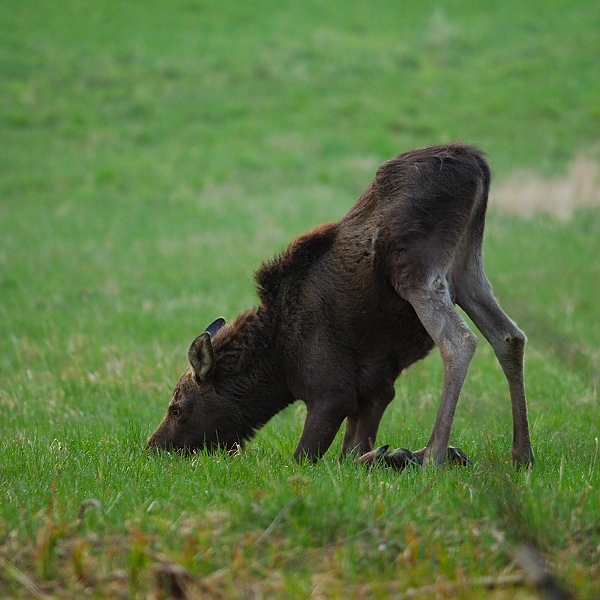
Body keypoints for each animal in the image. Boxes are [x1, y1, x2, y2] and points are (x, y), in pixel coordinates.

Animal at [147, 143, 534, 469]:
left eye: (177, 408)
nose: (153, 446)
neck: (278, 366)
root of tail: (477, 165)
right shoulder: (377, 389)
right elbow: (352, 452)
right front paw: (394, 454)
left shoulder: (331, 395)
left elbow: (307, 459)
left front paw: (404, 454)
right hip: (467, 271)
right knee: (509, 336)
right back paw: (521, 454)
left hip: (416, 270)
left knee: (459, 341)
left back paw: (434, 455)